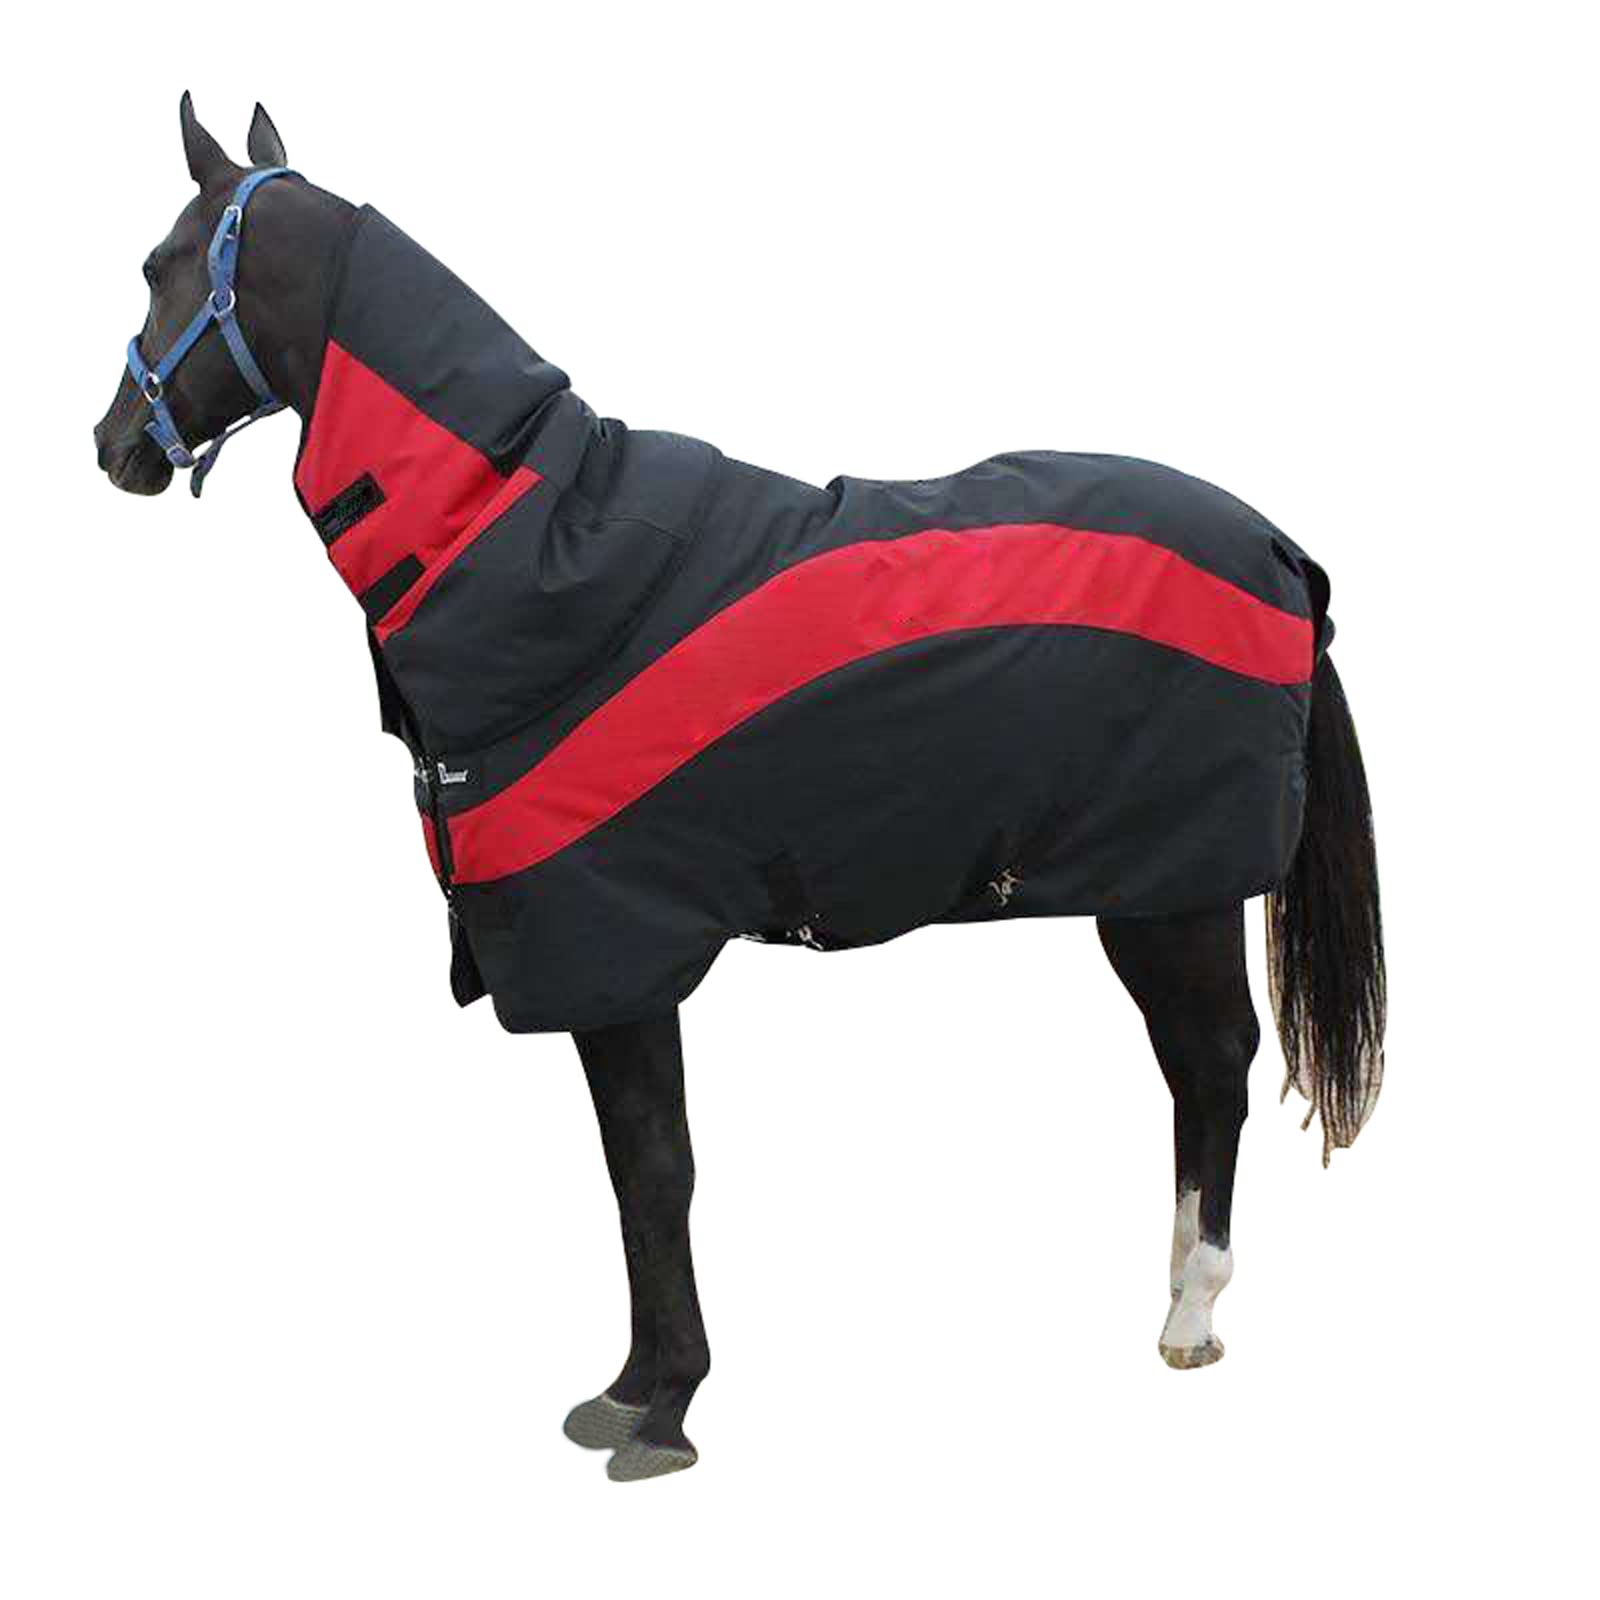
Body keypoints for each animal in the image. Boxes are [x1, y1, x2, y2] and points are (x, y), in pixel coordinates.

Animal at [94, 94, 1386, 1482]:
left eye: (161, 266)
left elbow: (654, 1169)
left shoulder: (615, 943)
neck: (526, 540)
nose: (110, 446)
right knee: (1198, 1070)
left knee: (1212, 1064)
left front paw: (663, 1405)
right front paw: (631, 1387)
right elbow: (631, 1172)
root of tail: (1277, 545)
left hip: (1173, 891)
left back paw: (1191, 1310)